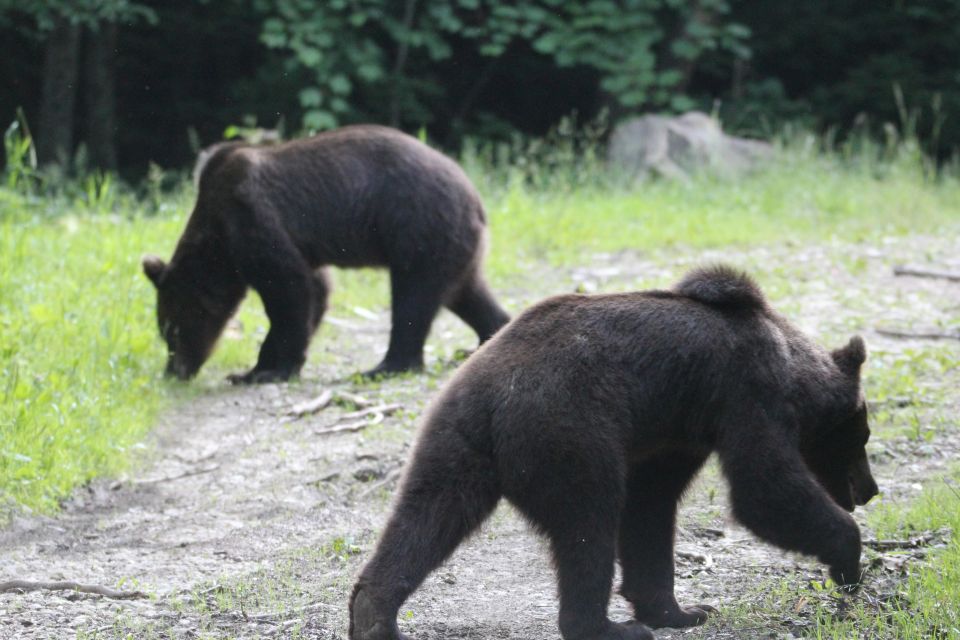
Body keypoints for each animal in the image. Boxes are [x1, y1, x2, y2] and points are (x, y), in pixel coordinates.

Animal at [142, 127, 510, 382]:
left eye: (172, 331)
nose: (174, 371)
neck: (218, 242)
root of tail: (476, 199)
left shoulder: (251, 218)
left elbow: (288, 288)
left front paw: (268, 370)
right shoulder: (298, 247)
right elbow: (314, 290)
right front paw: (253, 370)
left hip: (419, 227)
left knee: (413, 298)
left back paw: (384, 366)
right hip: (454, 245)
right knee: (467, 292)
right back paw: (484, 339)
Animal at [346, 264, 876, 640]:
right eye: (862, 437)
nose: (870, 490)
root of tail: (496, 396)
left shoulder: (676, 430)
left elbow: (651, 507)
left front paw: (684, 610)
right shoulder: (744, 394)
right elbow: (763, 488)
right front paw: (848, 564)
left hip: (455, 441)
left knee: (425, 517)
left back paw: (374, 615)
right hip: (571, 434)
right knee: (588, 523)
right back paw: (607, 627)